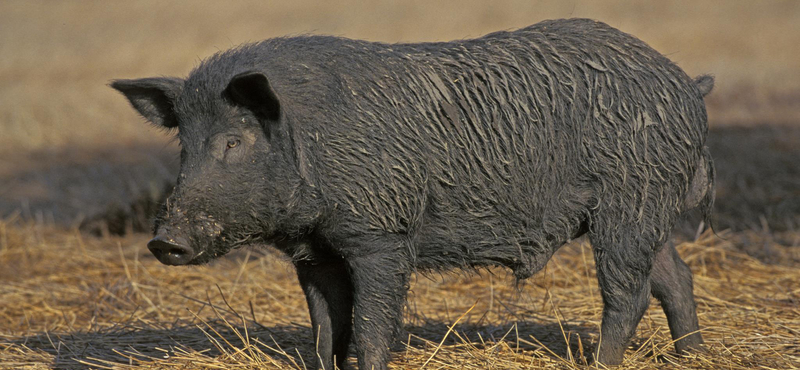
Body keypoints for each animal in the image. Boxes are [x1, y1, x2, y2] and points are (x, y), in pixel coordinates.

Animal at [111, 18, 712, 370]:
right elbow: (325, 329)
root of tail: (685, 83)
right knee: (675, 278)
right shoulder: (314, 253)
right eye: (184, 145)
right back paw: (695, 355)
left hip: (629, 203)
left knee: (629, 294)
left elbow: (371, 328)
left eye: (233, 142)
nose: (165, 242)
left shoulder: (381, 238)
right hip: (648, 210)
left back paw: (600, 365)